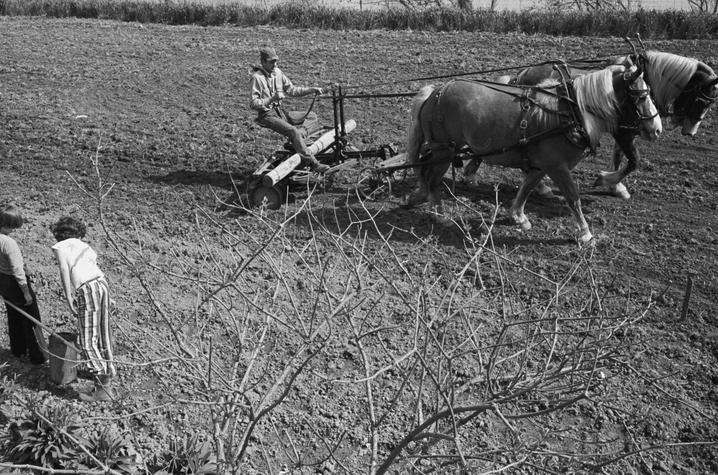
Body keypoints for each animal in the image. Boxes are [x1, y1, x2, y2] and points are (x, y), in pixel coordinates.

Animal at [404, 63, 664, 245]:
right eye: (641, 96)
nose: (657, 129)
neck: (571, 112)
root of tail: (435, 91)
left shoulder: (543, 164)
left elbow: (527, 187)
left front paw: (518, 216)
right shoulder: (557, 165)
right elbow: (573, 197)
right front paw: (585, 233)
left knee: (425, 174)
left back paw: (421, 197)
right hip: (445, 149)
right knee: (432, 179)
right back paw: (438, 212)